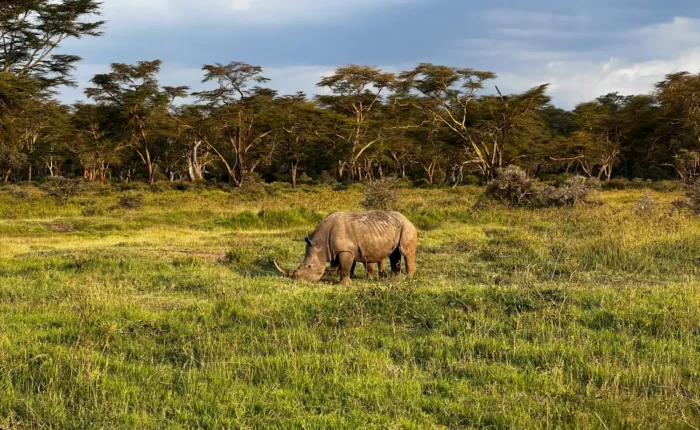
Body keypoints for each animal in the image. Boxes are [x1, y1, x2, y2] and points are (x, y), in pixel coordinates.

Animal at [274, 211, 418, 285]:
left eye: (309, 266)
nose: (298, 281)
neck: (320, 243)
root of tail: (408, 219)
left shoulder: (345, 250)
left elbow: (345, 267)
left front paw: (343, 285)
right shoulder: (336, 251)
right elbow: (340, 266)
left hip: (407, 228)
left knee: (405, 252)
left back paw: (407, 281)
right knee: (394, 254)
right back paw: (393, 280)